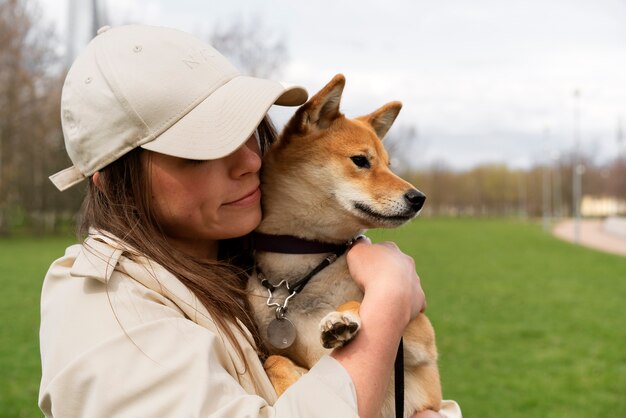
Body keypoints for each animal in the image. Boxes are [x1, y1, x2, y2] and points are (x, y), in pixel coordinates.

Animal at [246, 73, 442, 416]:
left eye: (389, 164)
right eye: (361, 161)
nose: (419, 198)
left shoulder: (419, 339)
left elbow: (354, 302)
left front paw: (339, 320)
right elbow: (275, 359)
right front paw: (288, 386)